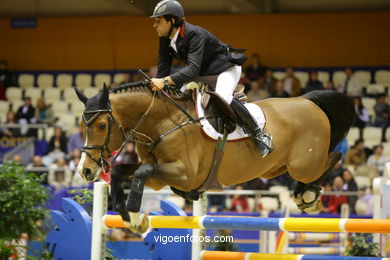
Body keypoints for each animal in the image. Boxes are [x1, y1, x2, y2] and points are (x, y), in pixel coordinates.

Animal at [74, 82, 354, 233]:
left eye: (101, 125)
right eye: (82, 125)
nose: (85, 170)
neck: (163, 121)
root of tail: (308, 102)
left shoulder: (184, 174)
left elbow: (139, 174)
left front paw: (134, 215)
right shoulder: (158, 176)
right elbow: (123, 173)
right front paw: (130, 217)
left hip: (303, 165)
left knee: (334, 157)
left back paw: (309, 196)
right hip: (274, 168)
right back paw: (304, 194)